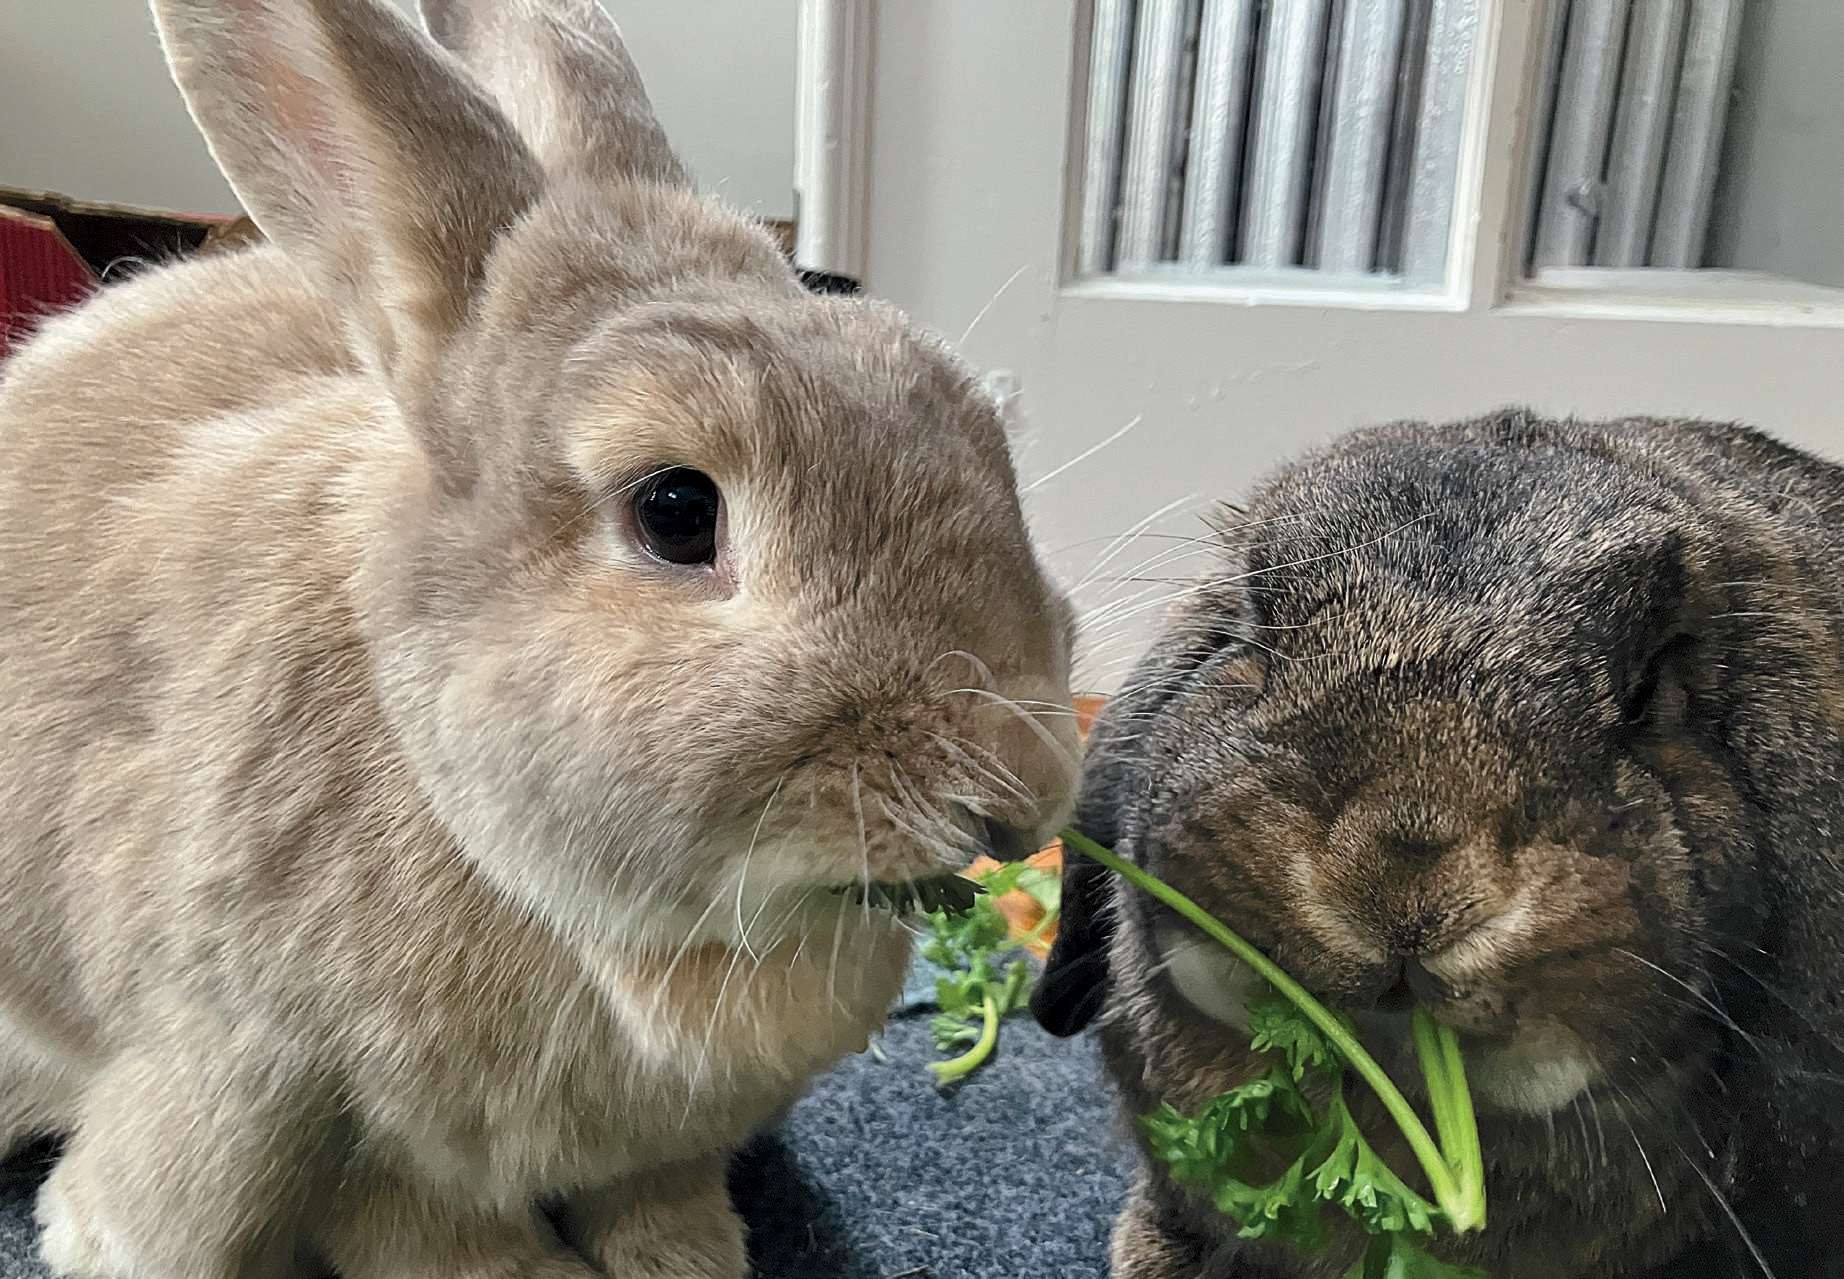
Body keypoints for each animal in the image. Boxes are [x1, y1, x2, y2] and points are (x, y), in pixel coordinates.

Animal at [0, 1, 1079, 1276]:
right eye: (676, 511)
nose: (1023, 790)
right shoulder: (287, 1090)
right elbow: (419, 1227)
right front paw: (534, 1269)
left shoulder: (665, 1137)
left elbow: (655, 1192)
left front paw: (690, 1258)